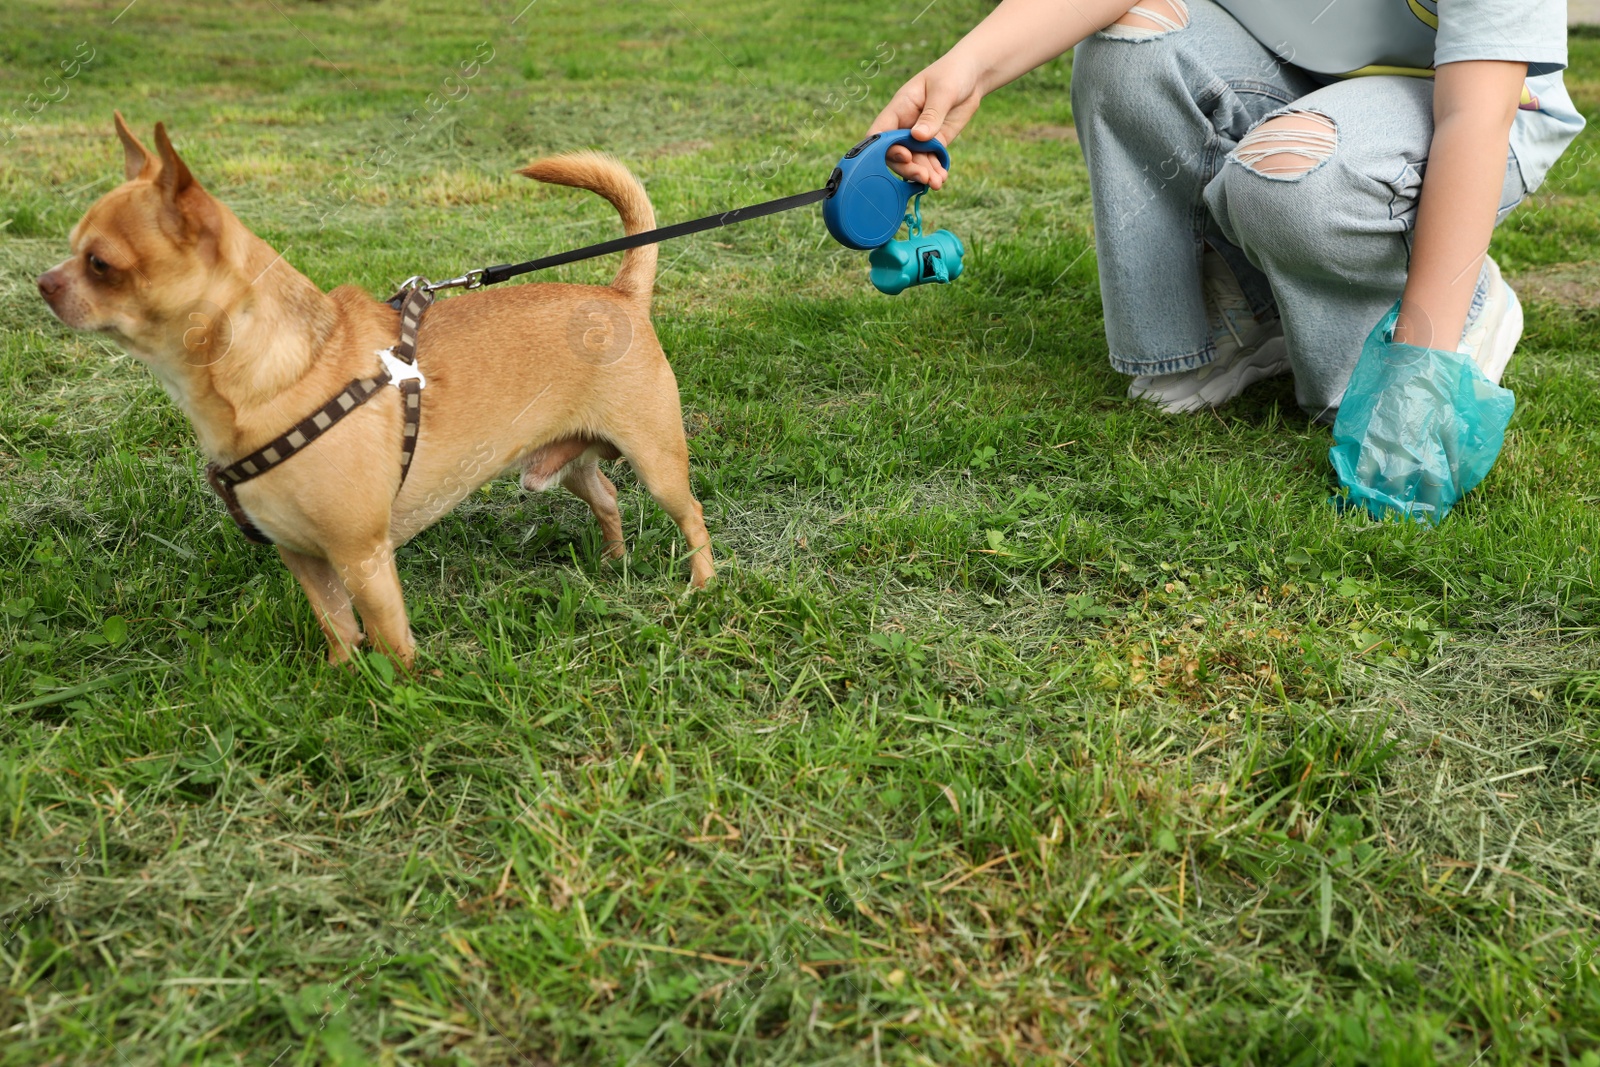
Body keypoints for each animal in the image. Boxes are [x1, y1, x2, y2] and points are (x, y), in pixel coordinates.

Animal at [39, 116, 713, 668]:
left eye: (100, 264)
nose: (42, 282)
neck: (289, 369)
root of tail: (620, 294)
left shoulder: (362, 558)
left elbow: (390, 638)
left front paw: (400, 696)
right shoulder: (305, 558)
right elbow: (337, 625)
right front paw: (340, 677)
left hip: (657, 462)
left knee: (691, 514)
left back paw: (702, 586)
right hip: (566, 463)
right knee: (607, 497)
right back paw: (614, 561)